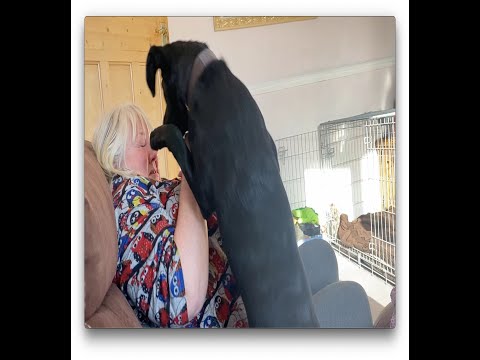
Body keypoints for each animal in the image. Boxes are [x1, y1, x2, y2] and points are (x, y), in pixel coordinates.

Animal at [146, 40, 318, 328]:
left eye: (166, 92)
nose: (165, 118)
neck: (205, 75)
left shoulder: (205, 196)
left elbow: (178, 138)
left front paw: (158, 134)